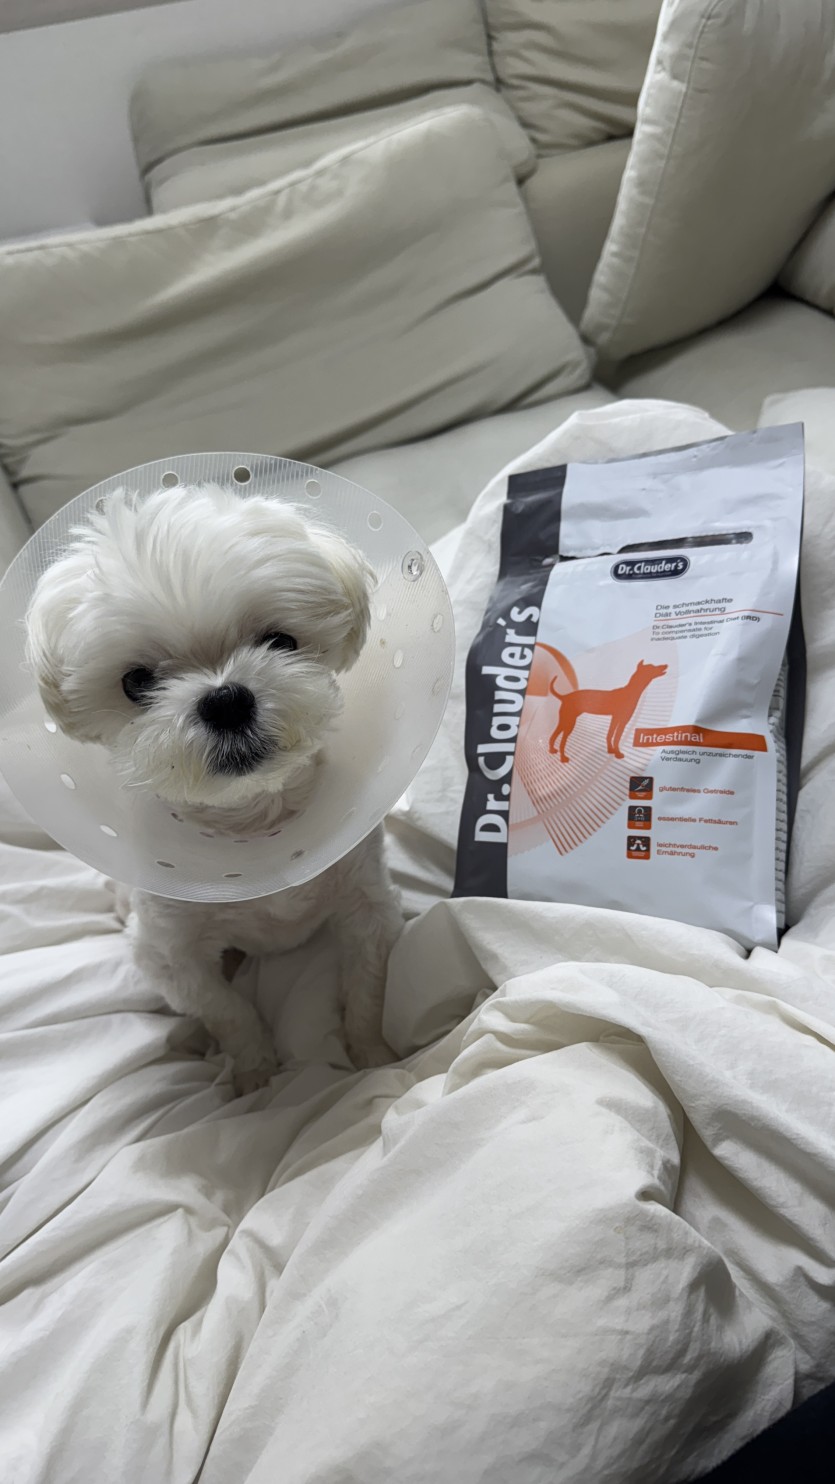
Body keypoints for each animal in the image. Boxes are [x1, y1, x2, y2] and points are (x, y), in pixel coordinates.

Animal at [25, 483, 404, 1093]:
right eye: (136, 682)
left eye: (281, 641)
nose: (225, 699)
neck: (250, 826)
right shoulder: (169, 956)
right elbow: (226, 1009)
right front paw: (254, 1074)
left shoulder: (369, 907)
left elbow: (367, 988)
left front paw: (376, 1057)